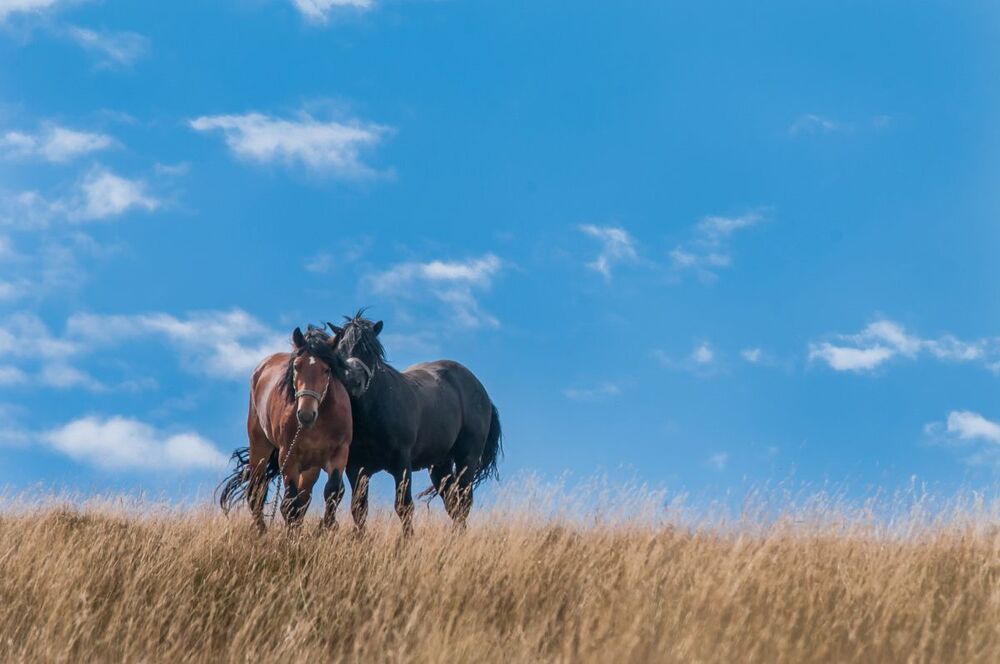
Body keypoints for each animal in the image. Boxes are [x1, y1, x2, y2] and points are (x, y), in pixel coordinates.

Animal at [218, 326, 354, 532]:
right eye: (297, 366)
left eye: (326, 369)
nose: (306, 415)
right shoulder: (288, 457)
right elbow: (289, 503)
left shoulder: (339, 453)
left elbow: (332, 491)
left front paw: (327, 527)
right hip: (259, 447)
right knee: (257, 491)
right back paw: (262, 531)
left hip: (310, 468)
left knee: (304, 498)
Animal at [328, 311, 503, 534]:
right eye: (341, 349)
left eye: (371, 350)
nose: (353, 381)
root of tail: (483, 392)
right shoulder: (356, 468)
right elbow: (359, 509)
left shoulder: (402, 463)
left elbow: (404, 506)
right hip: (440, 465)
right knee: (453, 503)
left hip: (467, 459)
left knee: (463, 502)